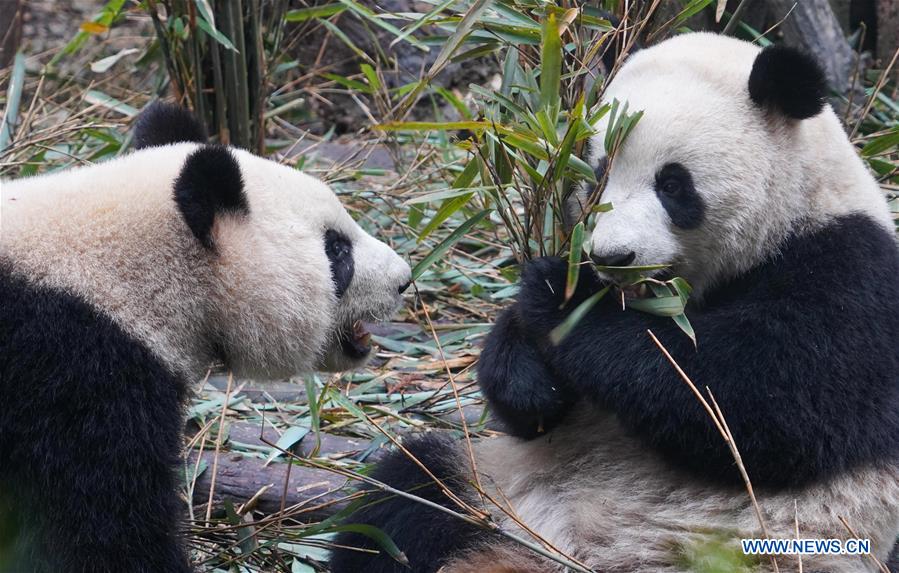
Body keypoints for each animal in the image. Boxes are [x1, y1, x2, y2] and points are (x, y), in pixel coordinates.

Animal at [328, 34, 899, 572]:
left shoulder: (851, 273)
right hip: (492, 491)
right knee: (401, 500)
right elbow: (529, 415)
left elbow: (756, 401)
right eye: (597, 173)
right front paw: (531, 370)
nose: (611, 257)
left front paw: (564, 301)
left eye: (673, 184)